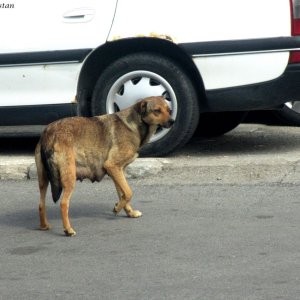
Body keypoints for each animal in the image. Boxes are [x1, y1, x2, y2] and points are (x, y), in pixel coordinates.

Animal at [34, 96, 173, 237]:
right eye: (157, 110)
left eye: (169, 110)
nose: (172, 121)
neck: (135, 123)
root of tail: (49, 133)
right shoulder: (112, 166)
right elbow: (128, 193)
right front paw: (117, 208)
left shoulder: (118, 171)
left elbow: (123, 194)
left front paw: (129, 212)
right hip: (69, 177)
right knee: (63, 203)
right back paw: (68, 230)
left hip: (43, 179)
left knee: (41, 204)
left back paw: (44, 226)